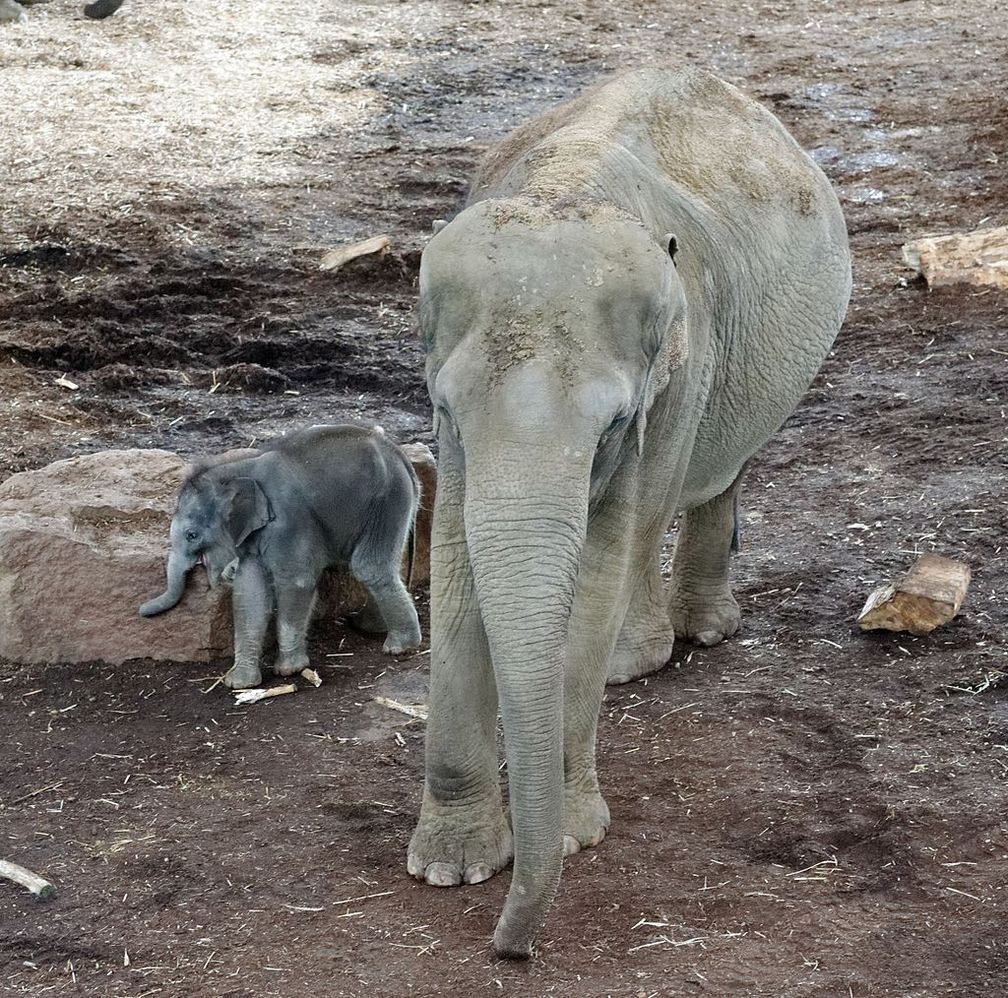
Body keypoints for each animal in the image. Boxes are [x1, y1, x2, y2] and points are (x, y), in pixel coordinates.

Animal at [140, 425, 423, 689]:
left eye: (192, 535)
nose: (141, 611)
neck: (240, 468)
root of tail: (398, 452)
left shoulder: (289, 521)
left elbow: (296, 580)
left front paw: (289, 670)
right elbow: (249, 591)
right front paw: (239, 683)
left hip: (388, 499)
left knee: (369, 566)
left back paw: (400, 647)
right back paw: (368, 627)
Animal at [407, 70, 850, 959]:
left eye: (612, 424)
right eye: (446, 409)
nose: (509, 949)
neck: (563, 191)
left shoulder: (672, 377)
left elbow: (601, 566)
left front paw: (575, 836)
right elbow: (458, 568)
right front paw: (448, 868)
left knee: (701, 486)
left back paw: (667, 646)